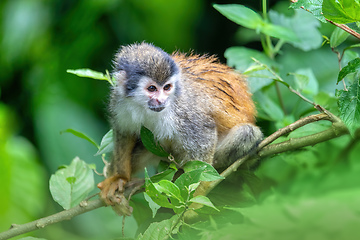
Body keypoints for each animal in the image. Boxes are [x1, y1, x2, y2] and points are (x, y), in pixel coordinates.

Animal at [97, 42, 262, 205]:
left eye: (167, 87)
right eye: (152, 88)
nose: (161, 100)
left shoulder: (184, 111)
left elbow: (204, 138)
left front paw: (196, 199)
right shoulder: (118, 100)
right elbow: (124, 132)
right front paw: (120, 178)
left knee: (247, 133)